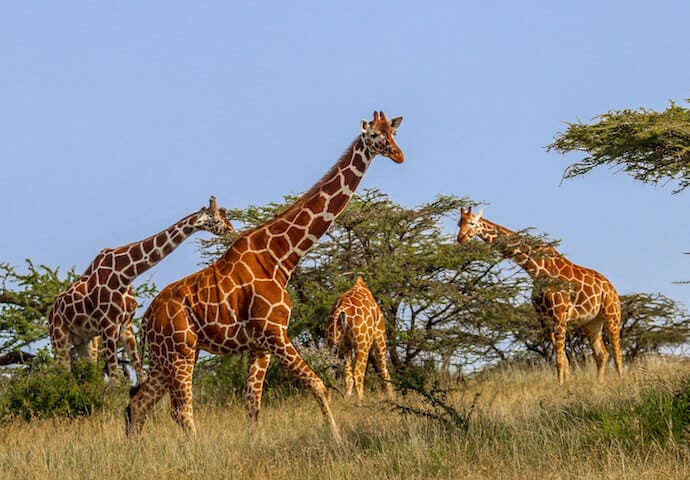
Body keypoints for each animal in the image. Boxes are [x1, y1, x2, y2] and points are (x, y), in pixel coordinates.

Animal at [47, 196, 234, 382]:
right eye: (216, 219)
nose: (230, 229)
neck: (125, 274)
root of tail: (51, 314)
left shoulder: (126, 326)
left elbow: (140, 373)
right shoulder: (108, 326)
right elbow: (115, 378)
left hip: (85, 341)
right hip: (60, 338)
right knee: (62, 372)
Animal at [125, 110, 404, 440]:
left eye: (394, 133)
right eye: (374, 135)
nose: (398, 154)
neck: (282, 256)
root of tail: (146, 320)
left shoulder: (259, 346)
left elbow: (253, 406)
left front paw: (254, 442)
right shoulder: (274, 333)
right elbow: (318, 385)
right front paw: (337, 439)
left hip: (166, 356)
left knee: (139, 404)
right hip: (180, 352)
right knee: (180, 411)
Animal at [456, 205, 624, 382]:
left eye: (472, 223)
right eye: (459, 223)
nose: (461, 238)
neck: (536, 271)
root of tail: (611, 287)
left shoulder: (559, 317)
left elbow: (559, 360)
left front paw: (562, 386)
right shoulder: (545, 320)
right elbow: (564, 360)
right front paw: (566, 384)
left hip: (612, 315)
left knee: (617, 353)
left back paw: (621, 381)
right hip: (592, 322)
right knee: (601, 354)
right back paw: (599, 383)